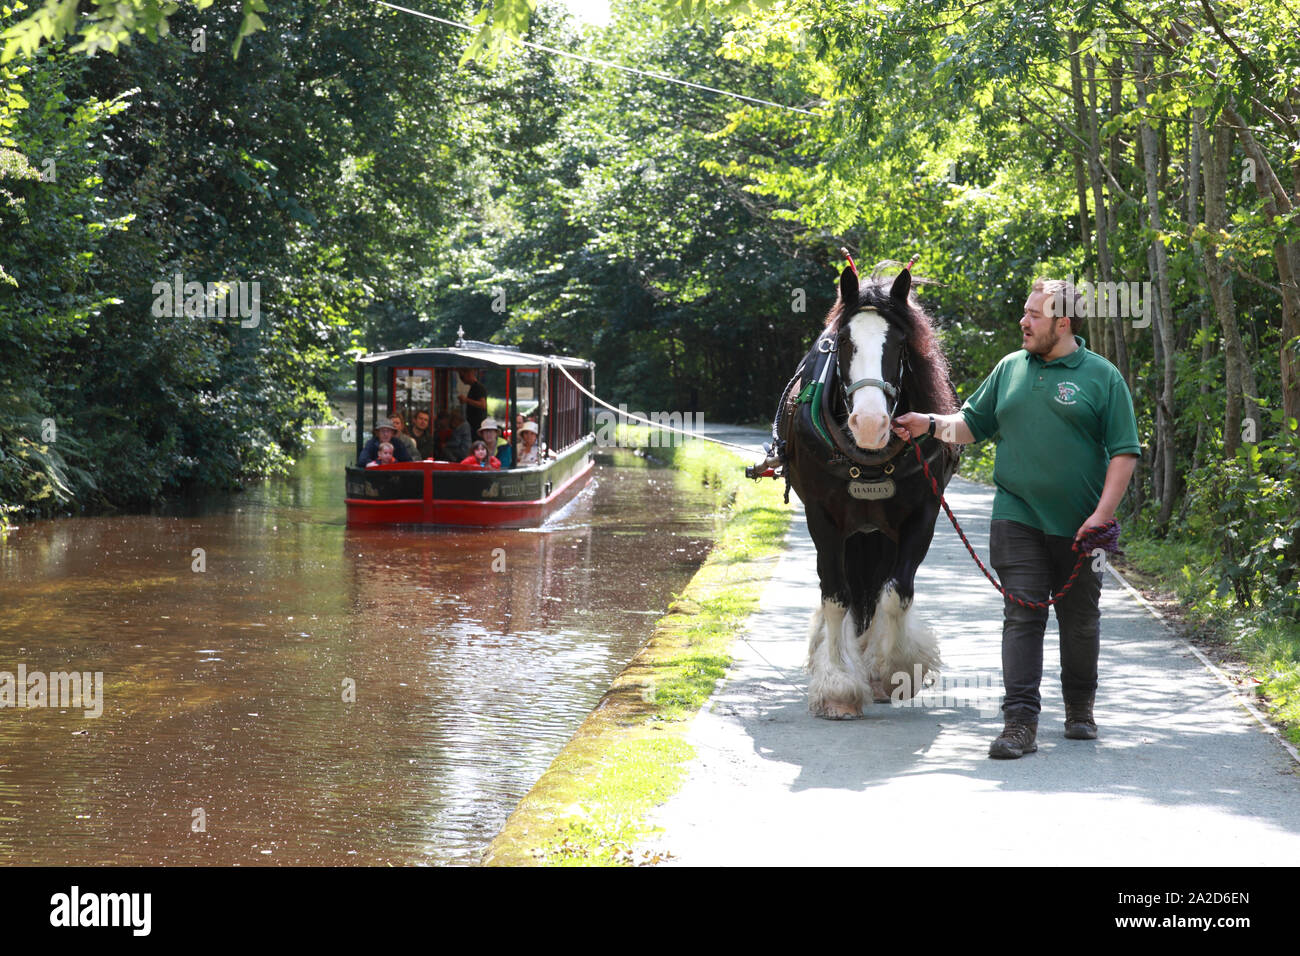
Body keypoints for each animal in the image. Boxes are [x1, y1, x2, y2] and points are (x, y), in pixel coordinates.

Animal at [769, 264, 967, 717]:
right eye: (842, 341)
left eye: (900, 343)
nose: (871, 424)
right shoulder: (822, 518)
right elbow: (836, 596)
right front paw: (838, 687)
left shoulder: (922, 514)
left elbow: (896, 592)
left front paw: (889, 669)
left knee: (878, 588)